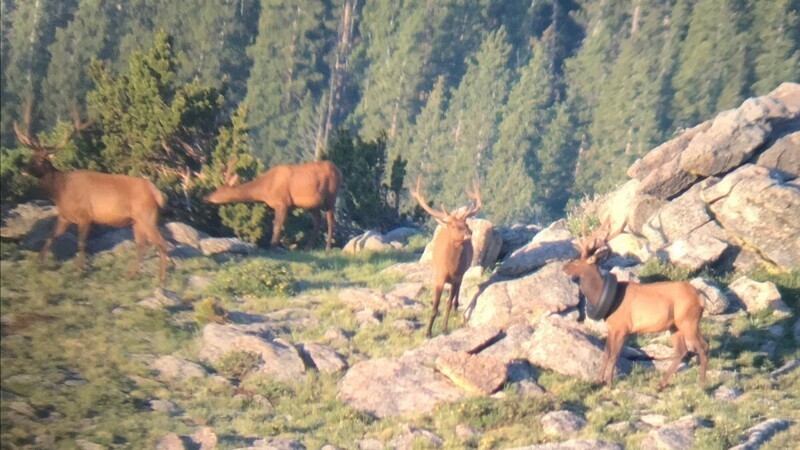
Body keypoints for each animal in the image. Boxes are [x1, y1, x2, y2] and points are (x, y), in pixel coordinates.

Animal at [13, 100, 170, 282]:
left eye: (40, 160)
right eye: (31, 157)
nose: (23, 169)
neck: (61, 192)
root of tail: (157, 193)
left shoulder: (85, 216)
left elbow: (81, 243)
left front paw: (79, 270)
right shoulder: (64, 216)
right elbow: (51, 236)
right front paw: (39, 263)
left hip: (147, 215)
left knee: (161, 243)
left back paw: (162, 278)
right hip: (136, 221)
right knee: (142, 245)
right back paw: (130, 275)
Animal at [203, 158, 340, 251]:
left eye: (219, 190)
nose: (206, 197)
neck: (266, 190)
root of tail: (338, 170)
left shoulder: (283, 202)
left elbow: (277, 225)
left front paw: (273, 246)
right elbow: (279, 225)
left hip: (331, 196)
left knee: (330, 220)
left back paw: (327, 248)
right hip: (312, 204)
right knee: (318, 221)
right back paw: (307, 248)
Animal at [410, 176, 478, 338]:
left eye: (466, 223)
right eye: (453, 226)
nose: (469, 233)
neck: (450, 266)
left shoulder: (457, 276)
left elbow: (447, 303)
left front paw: (444, 329)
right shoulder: (439, 277)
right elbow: (435, 306)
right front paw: (427, 332)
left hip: (462, 273)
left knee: (457, 292)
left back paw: (456, 306)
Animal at [560, 220, 708, 388]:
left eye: (578, 260)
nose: (564, 267)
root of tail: (700, 298)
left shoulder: (623, 327)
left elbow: (614, 355)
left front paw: (609, 382)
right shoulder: (612, 328)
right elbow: (606, 353)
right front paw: (598, 380)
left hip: (688, 321)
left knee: (703, 346)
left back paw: (701, 384)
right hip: (675, 325)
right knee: (682, 351)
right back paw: (661, 384)